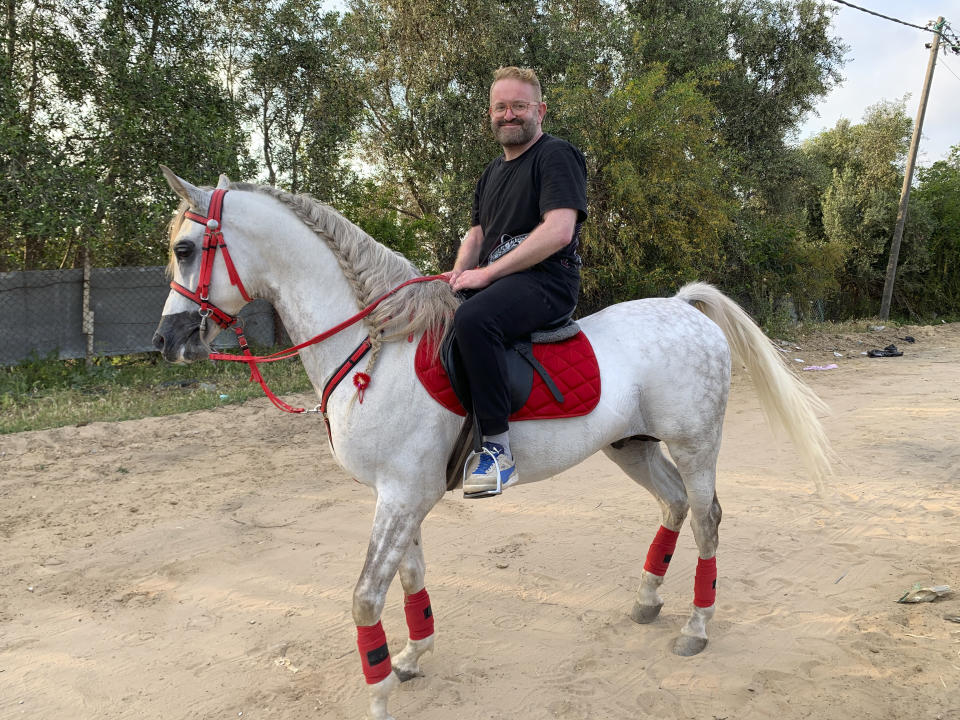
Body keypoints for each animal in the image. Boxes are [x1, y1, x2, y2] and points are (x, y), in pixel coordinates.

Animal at [154, 170, 828, 720]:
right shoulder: (401, 496)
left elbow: (365, 600)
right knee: (674, 505)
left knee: (708, 518)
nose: (166, 341)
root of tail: (684, 307)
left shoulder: (401, 496)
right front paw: (413, 656)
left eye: (186, 250)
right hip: (631, 446)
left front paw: (379, 693)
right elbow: (409, 578)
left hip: (695, 445)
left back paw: (696, 625)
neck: (378, 345)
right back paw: (645, 600)